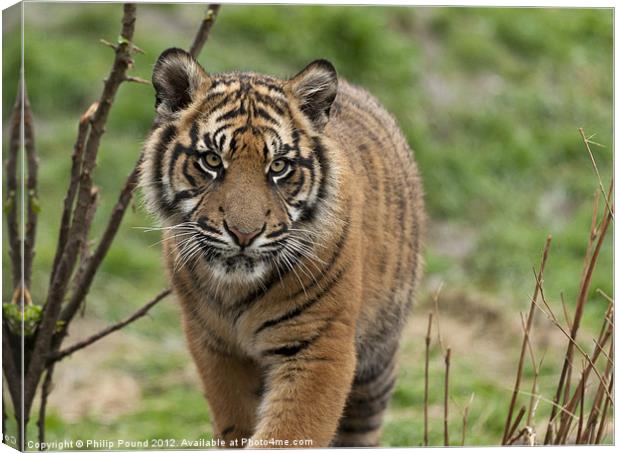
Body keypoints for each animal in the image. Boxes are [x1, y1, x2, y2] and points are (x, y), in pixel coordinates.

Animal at [138, 47, 424, 446]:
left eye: (278, 166)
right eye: (211, 161)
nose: (244, 234)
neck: (236, 290)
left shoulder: (318, 346)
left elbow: (290, 430)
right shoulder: (215, 346)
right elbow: (236, 423)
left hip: (377, 362)